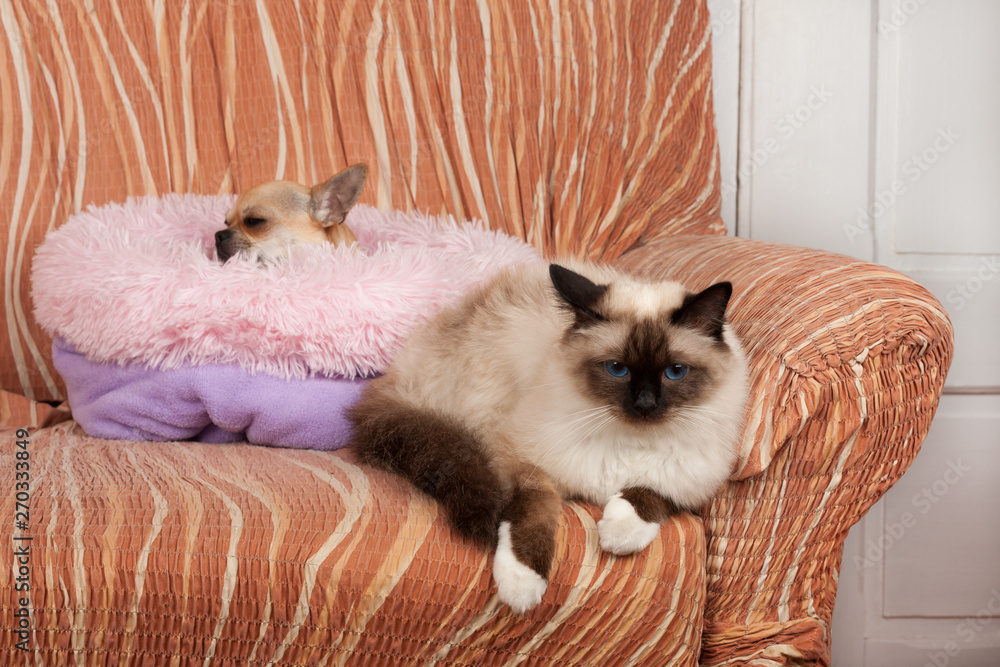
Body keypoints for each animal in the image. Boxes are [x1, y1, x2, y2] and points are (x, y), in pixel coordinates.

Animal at [348, 260, 748, 612]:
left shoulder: (691, 478)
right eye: (617, 369)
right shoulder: (521, 464)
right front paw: (522, 584)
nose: (645, 404)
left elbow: (650, 493)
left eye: (675, 371)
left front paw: (618, 533)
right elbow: (535, 511)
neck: (629, 438)